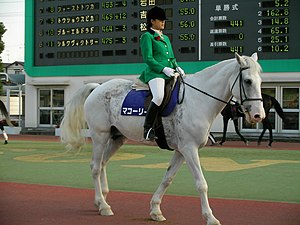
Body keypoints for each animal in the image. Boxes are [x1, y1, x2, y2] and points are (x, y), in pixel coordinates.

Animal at [60, 53, 264, 225]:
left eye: (260, 81)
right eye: (247, 81)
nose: (258, 115)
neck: (197, 99)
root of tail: (98, 87)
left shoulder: (181, 151)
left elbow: (168, 179)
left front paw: (155, 210)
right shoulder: (190, 149)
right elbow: (201, 184)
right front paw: (210, 217)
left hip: (117, 138)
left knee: (102, 163)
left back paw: (102, 200)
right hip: (100, 136)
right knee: (95, 167)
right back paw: (103, 205)